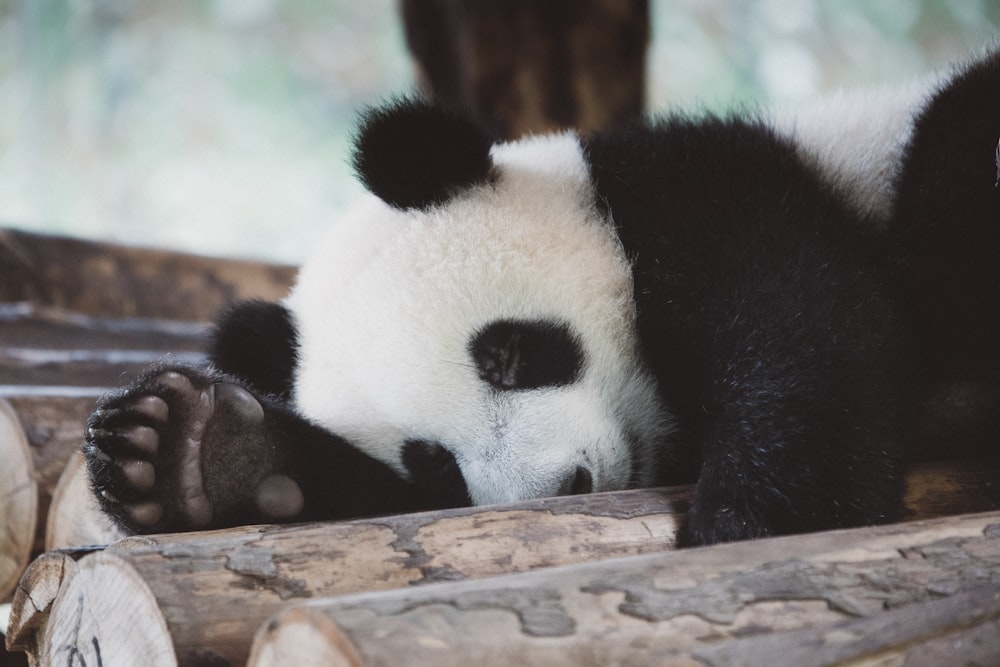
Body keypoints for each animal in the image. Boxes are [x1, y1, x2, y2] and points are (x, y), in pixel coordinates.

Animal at [88, 48, 1000, 548]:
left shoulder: (712, 195)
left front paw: (753, 520)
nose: (562, 486)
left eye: (509, 353)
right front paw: (199, 452)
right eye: (431, 458)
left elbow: (804, 337)